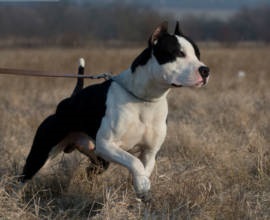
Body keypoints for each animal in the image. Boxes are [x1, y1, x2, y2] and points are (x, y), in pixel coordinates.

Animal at [20, 21, 210, 200]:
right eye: (179, 53)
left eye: (198, 54)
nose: (205, 70)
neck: (145, 99)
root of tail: (69, 100)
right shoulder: (107, 145)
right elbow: (134, 161)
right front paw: (141, 185)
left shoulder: (149, 152)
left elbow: (143, 168)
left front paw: (141, 188)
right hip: (41, 152)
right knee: (23, 178)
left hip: (99, 159)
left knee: (91, 171)